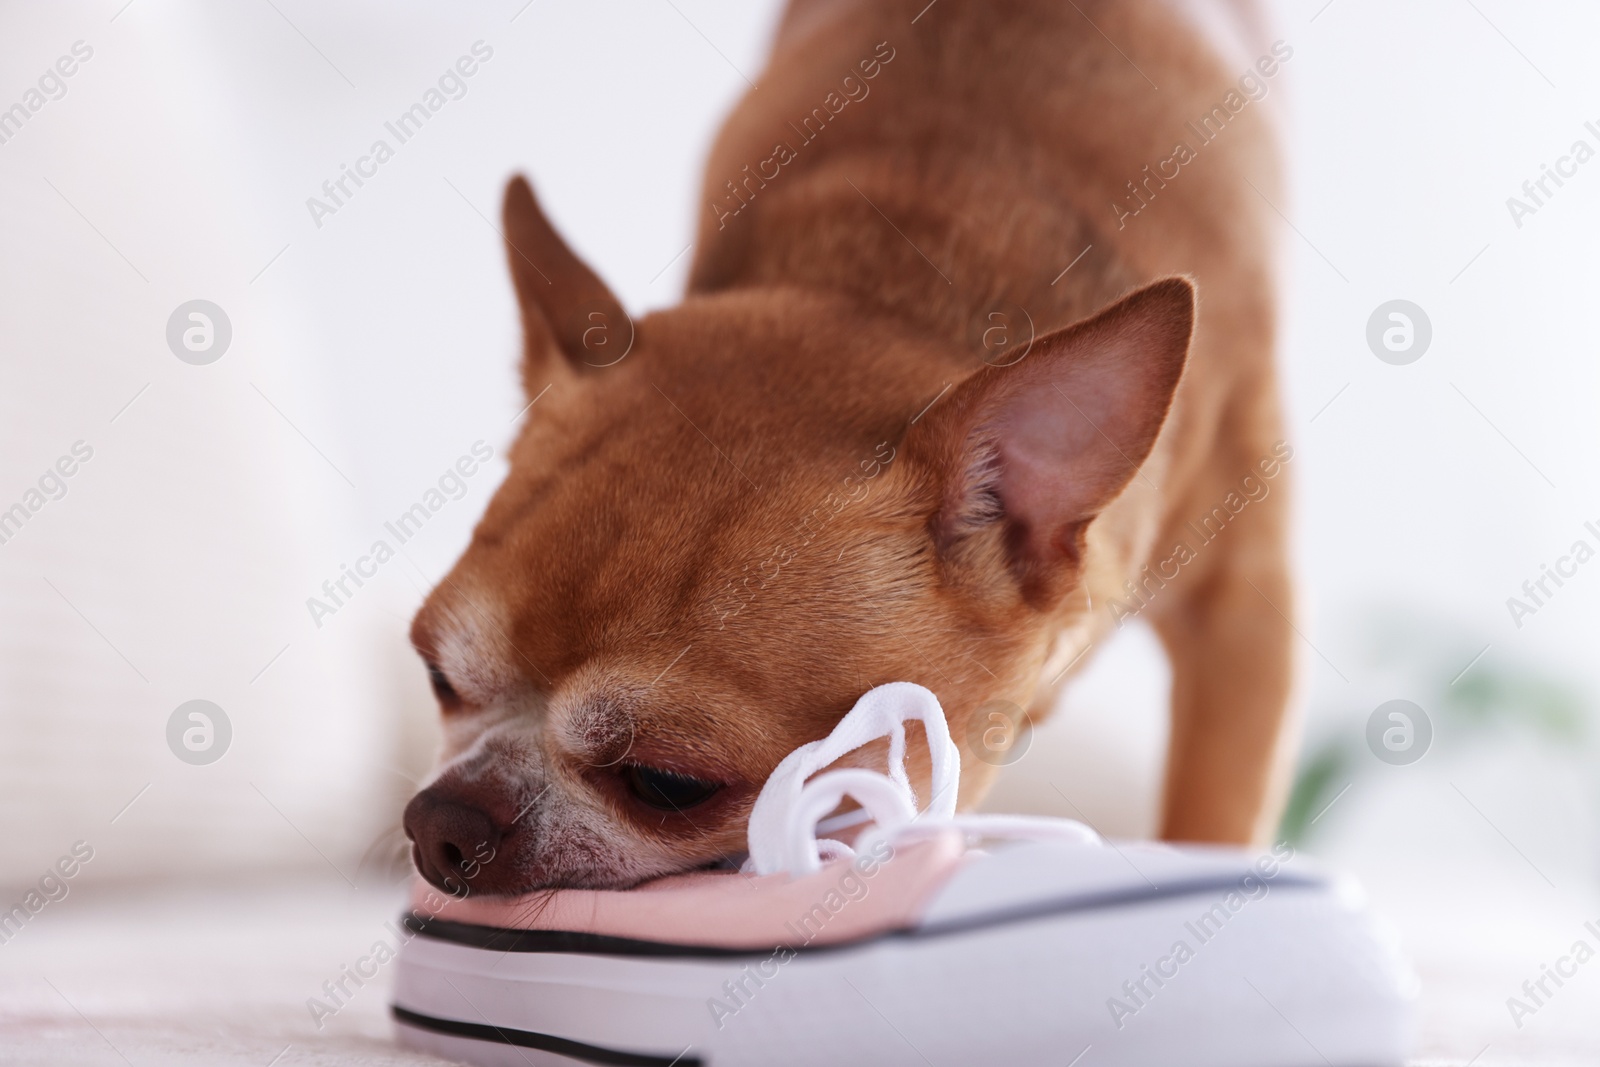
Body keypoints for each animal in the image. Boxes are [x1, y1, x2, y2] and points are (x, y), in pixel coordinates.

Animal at [406, 0, 1292, 895]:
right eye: (437, 677)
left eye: (668, 781)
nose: (445, 820)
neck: (896, 284)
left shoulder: (1244, 614)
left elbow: (1217, 816)